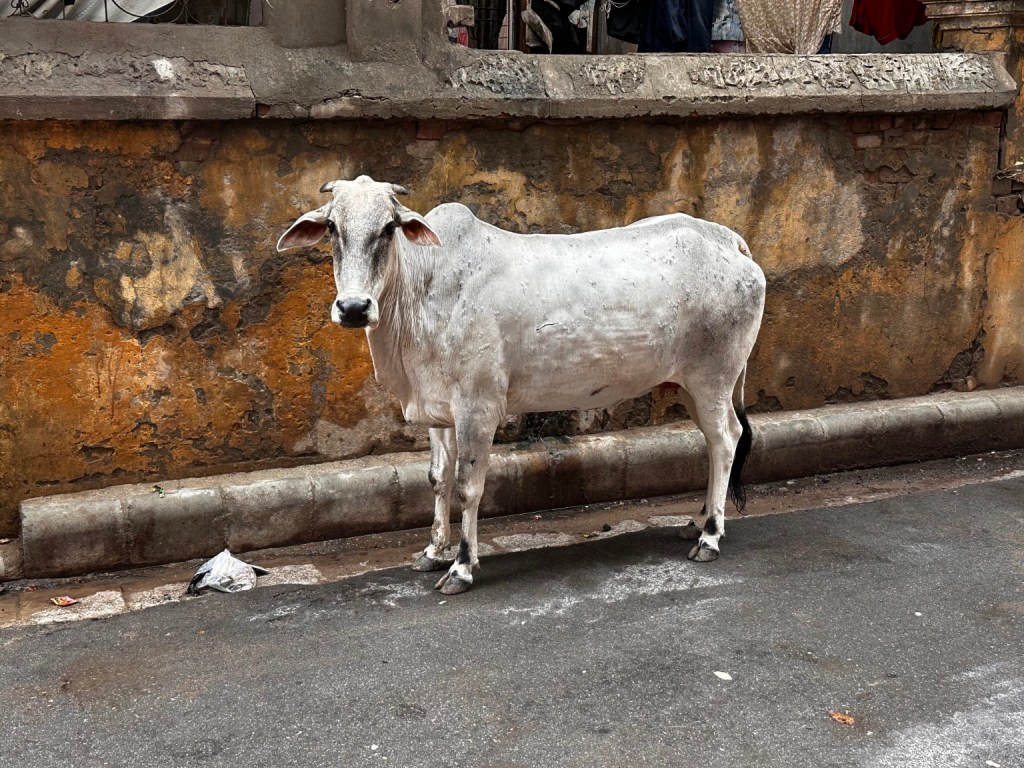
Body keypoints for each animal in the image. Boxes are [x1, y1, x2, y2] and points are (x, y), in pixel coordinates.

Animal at [278, 176, 766, 595]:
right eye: (332, 227)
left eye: (388, 228)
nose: (354, 307)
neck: (423, 290)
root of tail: (727, 239)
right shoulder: (439, 411)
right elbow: (437, 479)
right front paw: (433, 551)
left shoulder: (478, 408)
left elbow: (467, 486)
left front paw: (462, 565)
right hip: (689, 385)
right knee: (717, 442)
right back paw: (699, 520)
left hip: (713, 378)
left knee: (725, 441)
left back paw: (710, 536)